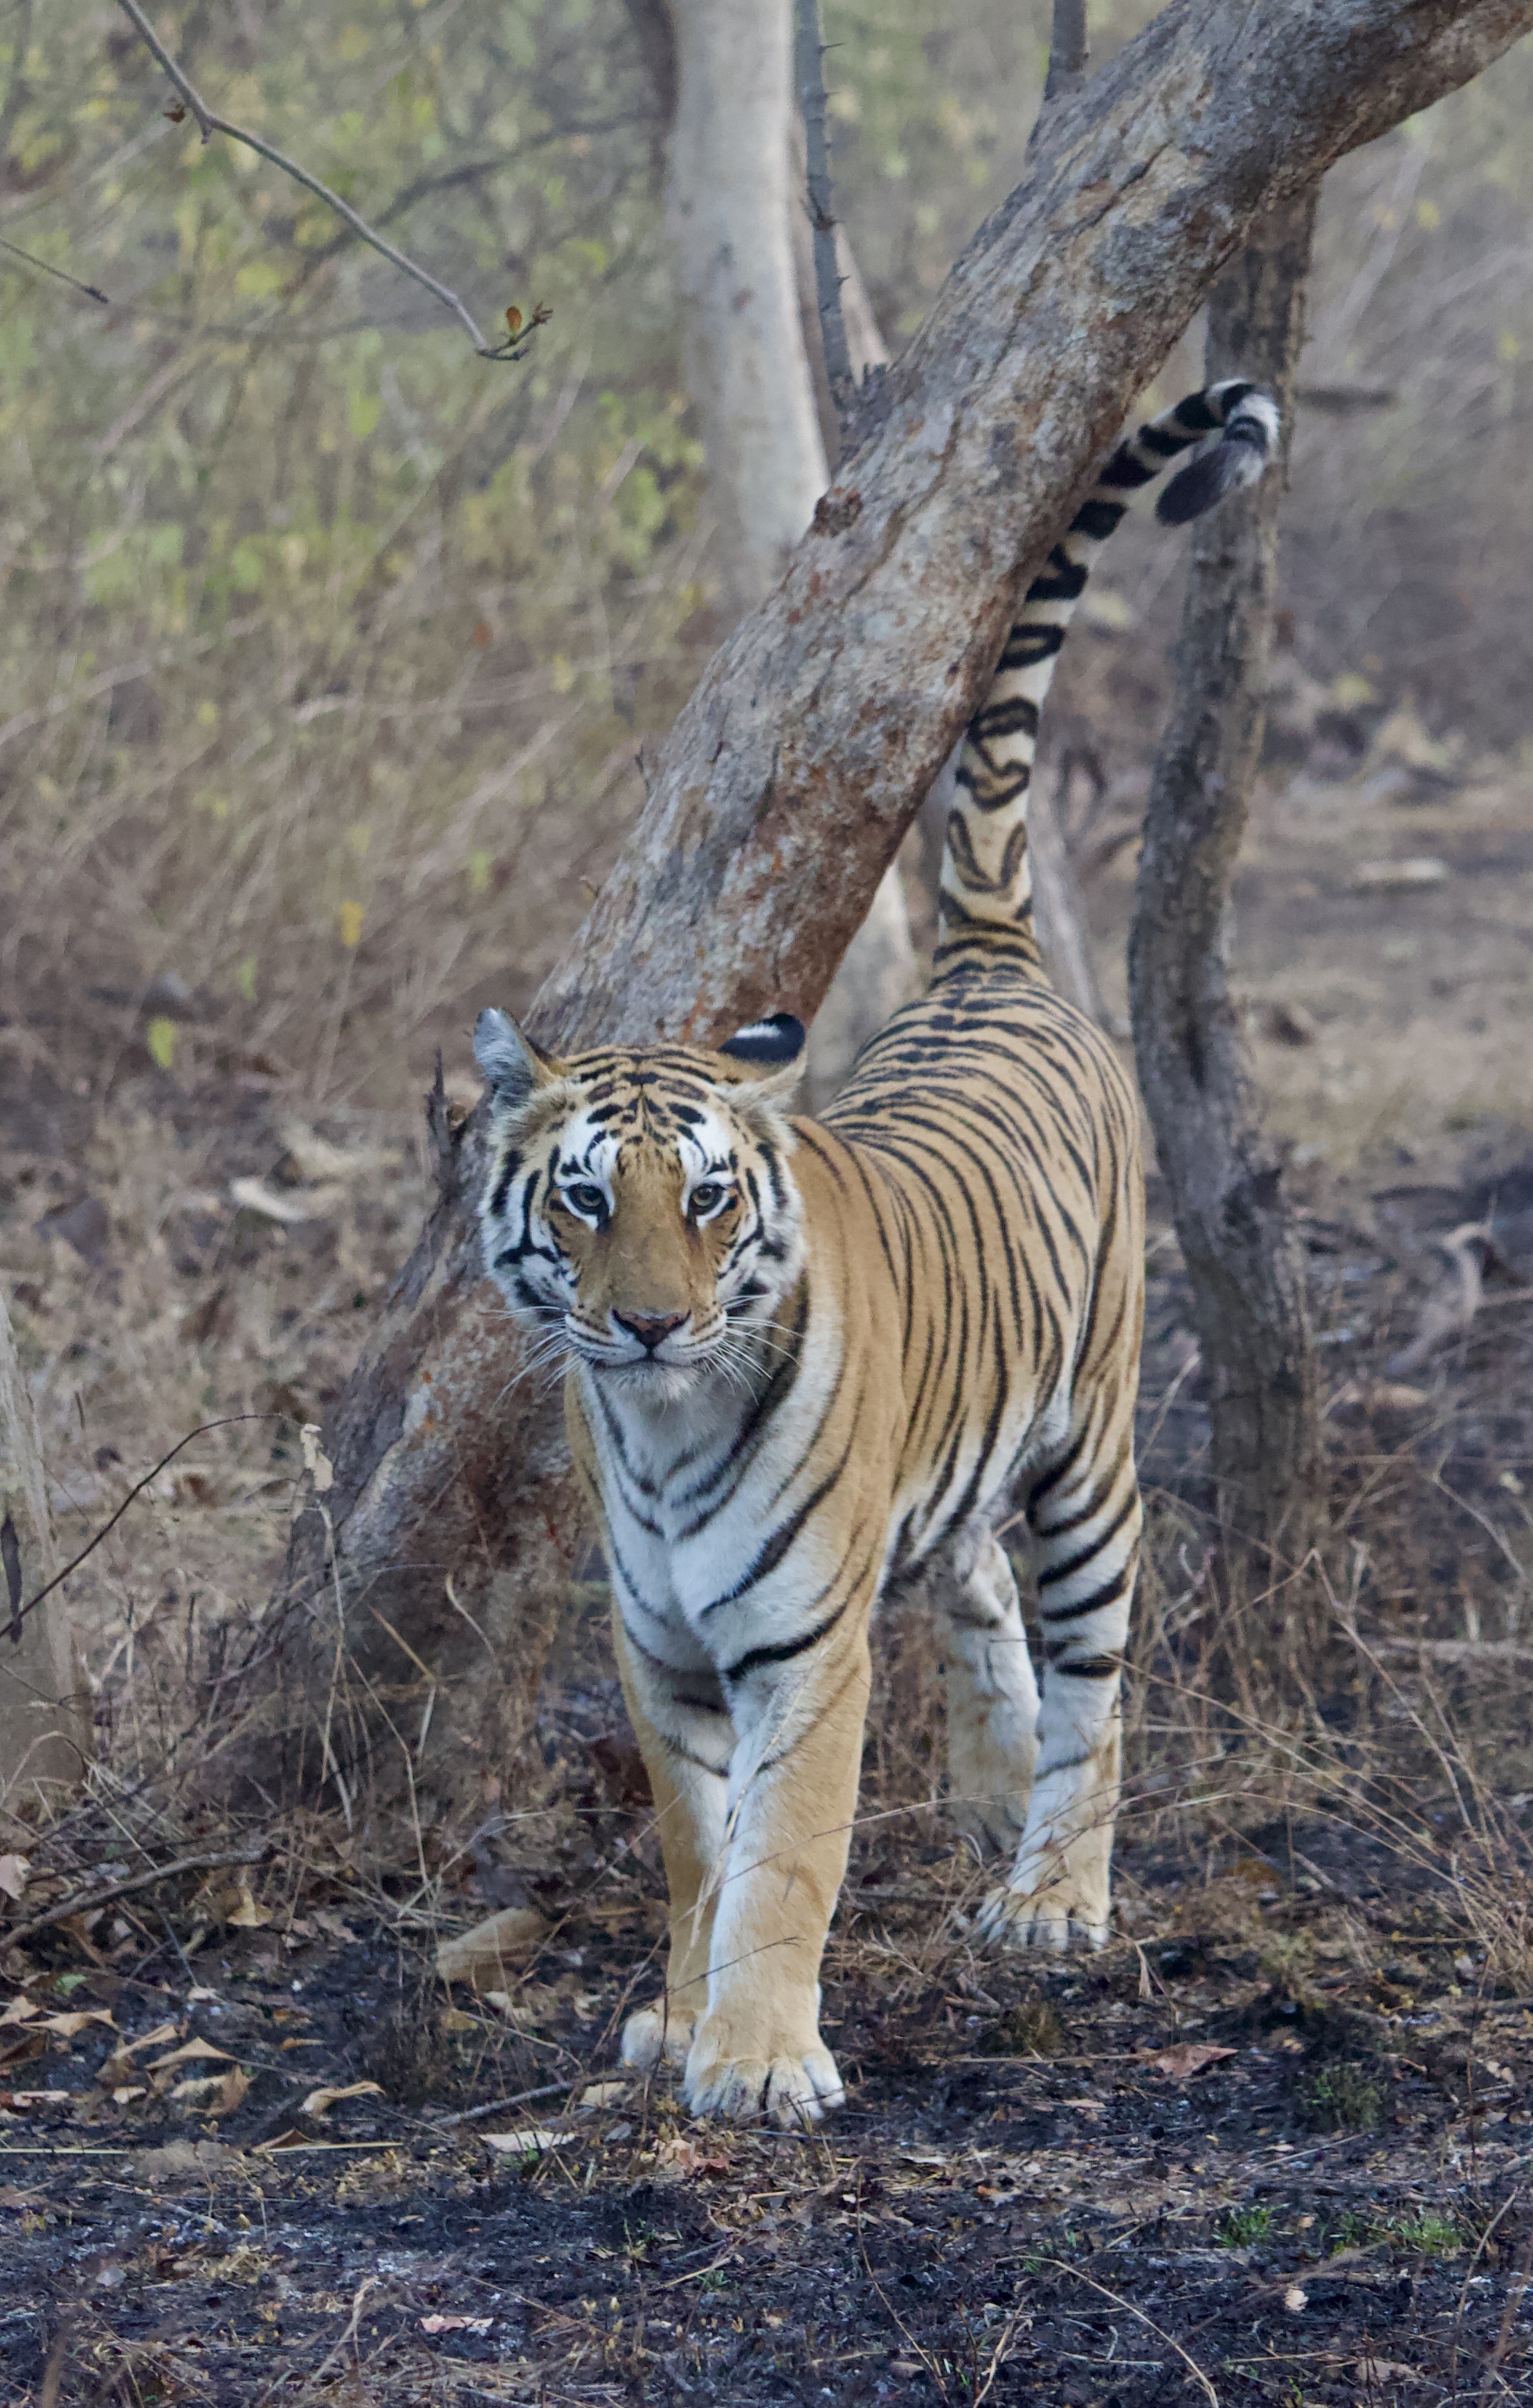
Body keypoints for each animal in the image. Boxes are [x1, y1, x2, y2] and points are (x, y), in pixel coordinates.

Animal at [474, 379, 1278, 2127]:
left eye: (707, 1199)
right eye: (586, 1200)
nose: (651, 1326)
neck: (658, 1430)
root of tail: (985, 958)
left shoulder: (800, 1648)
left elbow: (788, 1854)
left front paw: (760, 2061)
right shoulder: (658, 1650)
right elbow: (695, 1851)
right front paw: (678, 2016)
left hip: (1092, 1444)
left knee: (1097, 1670)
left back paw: (1051, 1891)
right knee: (974, 1581)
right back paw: (994, 1789)